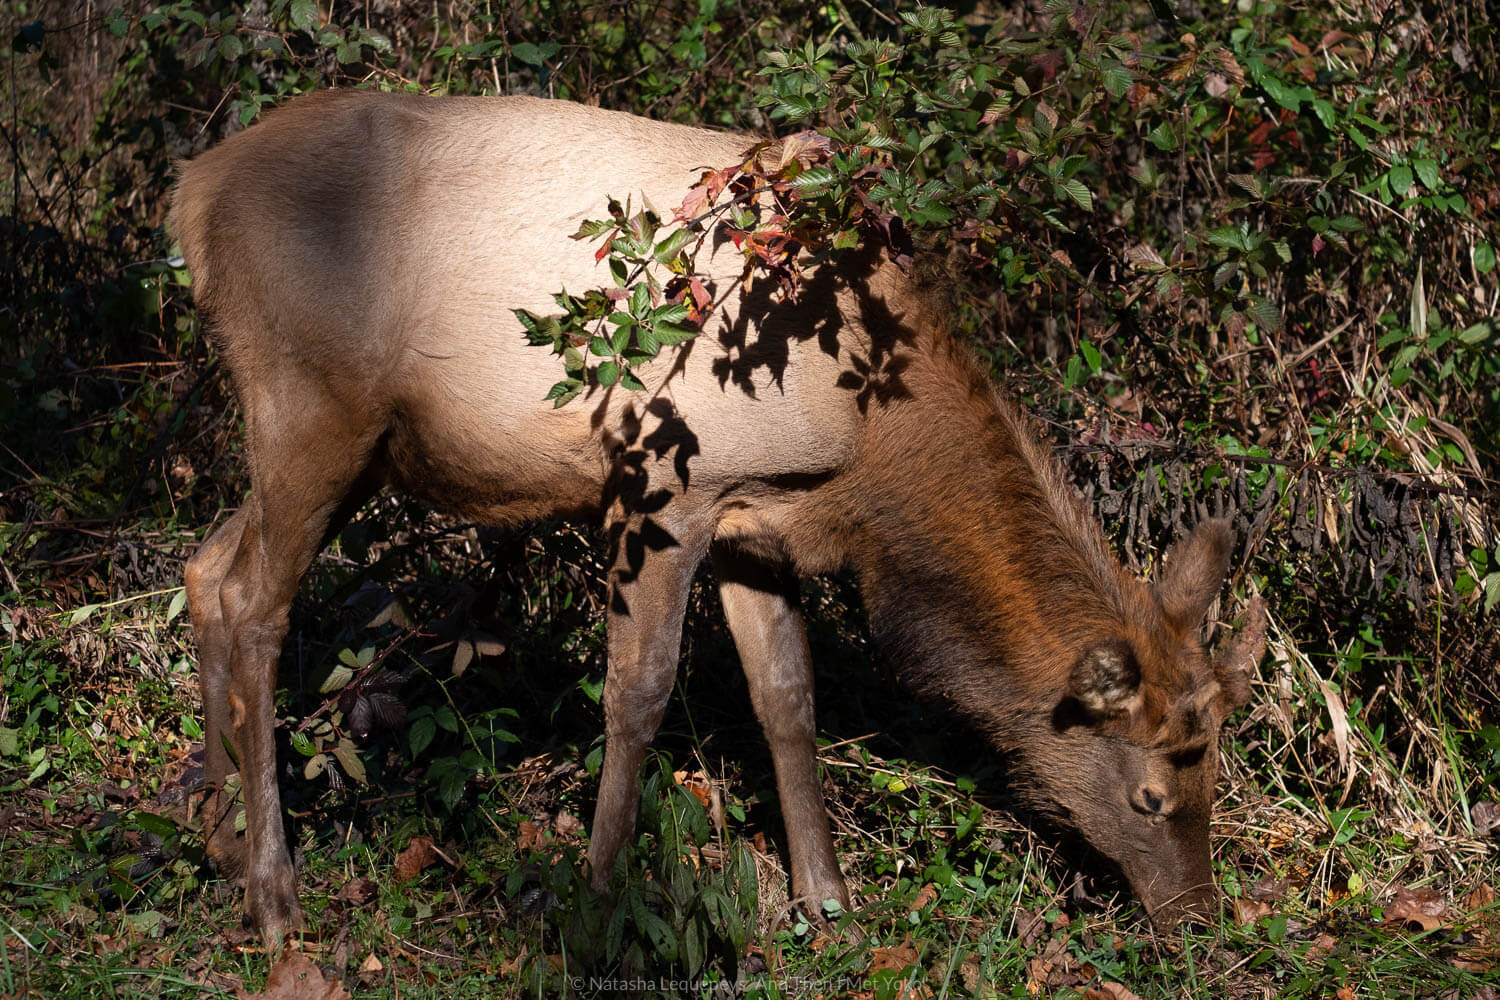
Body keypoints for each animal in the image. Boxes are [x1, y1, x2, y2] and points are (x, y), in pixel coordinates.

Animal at [170, 89, 1266, 941]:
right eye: (1149, 795)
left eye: (1219, 775)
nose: (1199, 921)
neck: (869, 440)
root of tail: (192, 191)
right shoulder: (665, 483)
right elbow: (639, 692)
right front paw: (597, 895)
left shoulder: (761, 518)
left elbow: (787, 697)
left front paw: (828, 901)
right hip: (312, 403)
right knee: (259, 604)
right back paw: (273, 892)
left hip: (355, 444)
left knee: (207, 571)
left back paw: (219, 840)